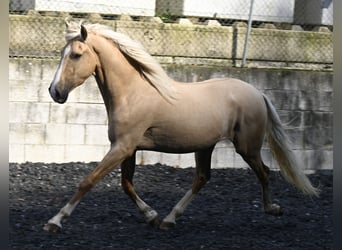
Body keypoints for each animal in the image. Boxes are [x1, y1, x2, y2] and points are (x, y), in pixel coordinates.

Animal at [42, 21, 318, 232]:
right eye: (62, 53)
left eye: (76, 54)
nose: (55, 92)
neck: (133, 93)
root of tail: (258, 93)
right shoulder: (127, 149)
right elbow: (126, 184)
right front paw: (151, 215)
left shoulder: (122, 147)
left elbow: (88, 181)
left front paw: (54, 221)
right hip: (206, 146)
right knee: (202, 178)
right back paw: (169, 219)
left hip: (247, 147)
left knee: (264, 172)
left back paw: (273, 209)